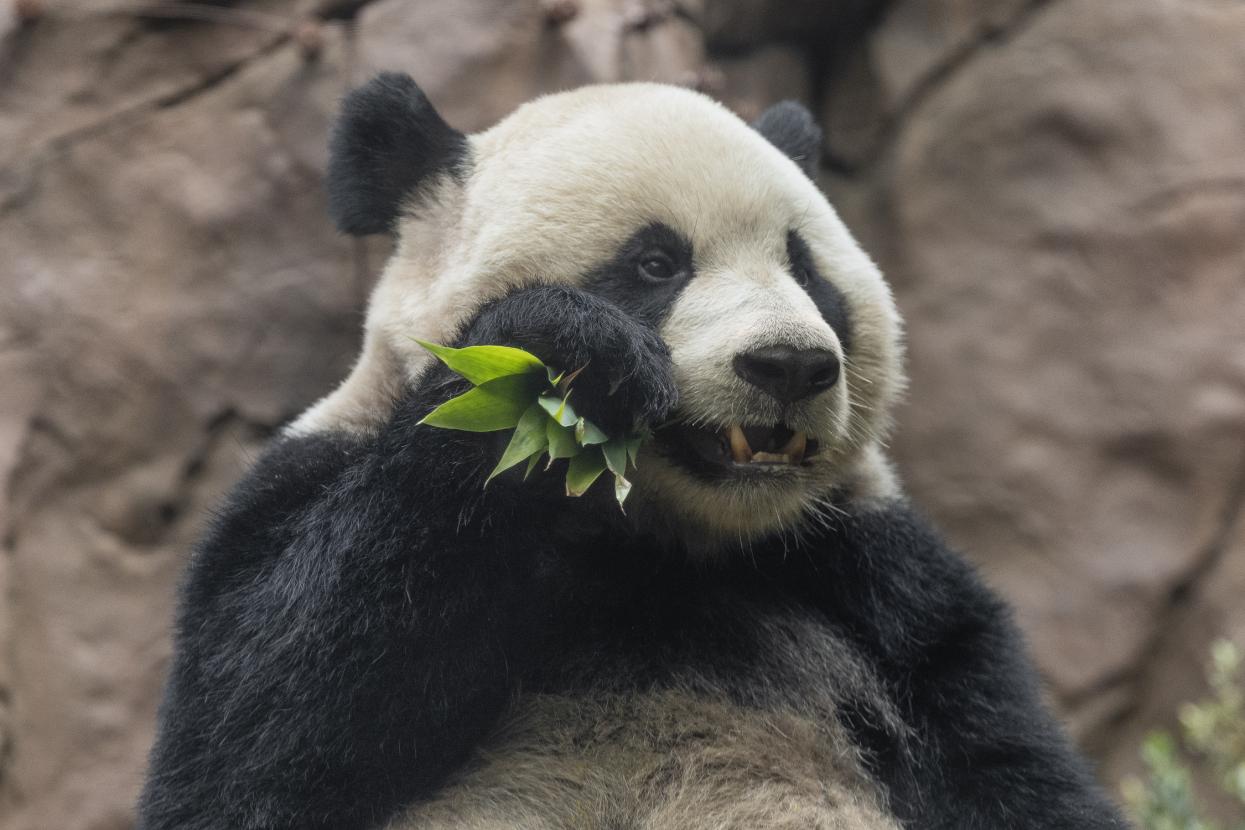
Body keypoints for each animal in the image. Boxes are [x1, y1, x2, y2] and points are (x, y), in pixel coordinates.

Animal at [137, 73, 1129, 830]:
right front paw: (572, 355)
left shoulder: (880, 583)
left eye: (806, 270)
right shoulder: (307, 484)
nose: (788, 364)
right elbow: (256, 730)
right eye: (656, 263)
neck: (653, 542)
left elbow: (1009, 769)